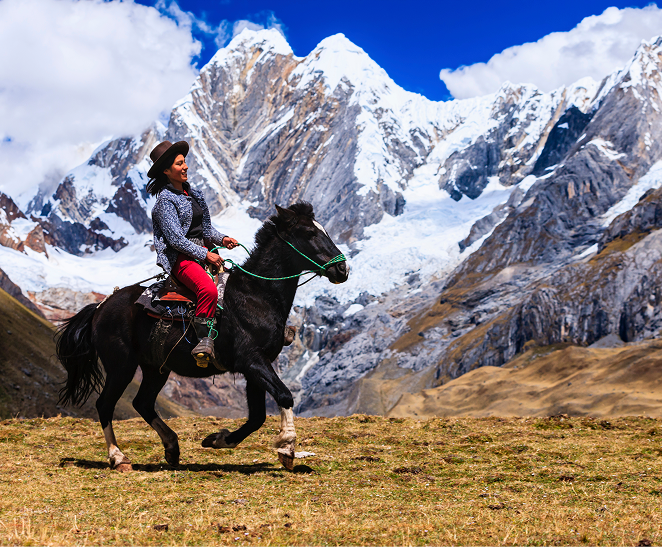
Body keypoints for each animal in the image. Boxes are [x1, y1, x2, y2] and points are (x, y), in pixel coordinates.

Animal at [55, 202, 349, 471]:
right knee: (105, 404)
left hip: (155, 368)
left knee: (143, 402)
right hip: (121, 366)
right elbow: (284, 396)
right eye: (309, 232)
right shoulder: (252, 361)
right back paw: (118, 457)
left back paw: (172, 448)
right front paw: (287, 447)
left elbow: (257, 417)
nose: (342, 270)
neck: (256, 295)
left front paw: (217, 439)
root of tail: (100, 308)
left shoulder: (255, 368)